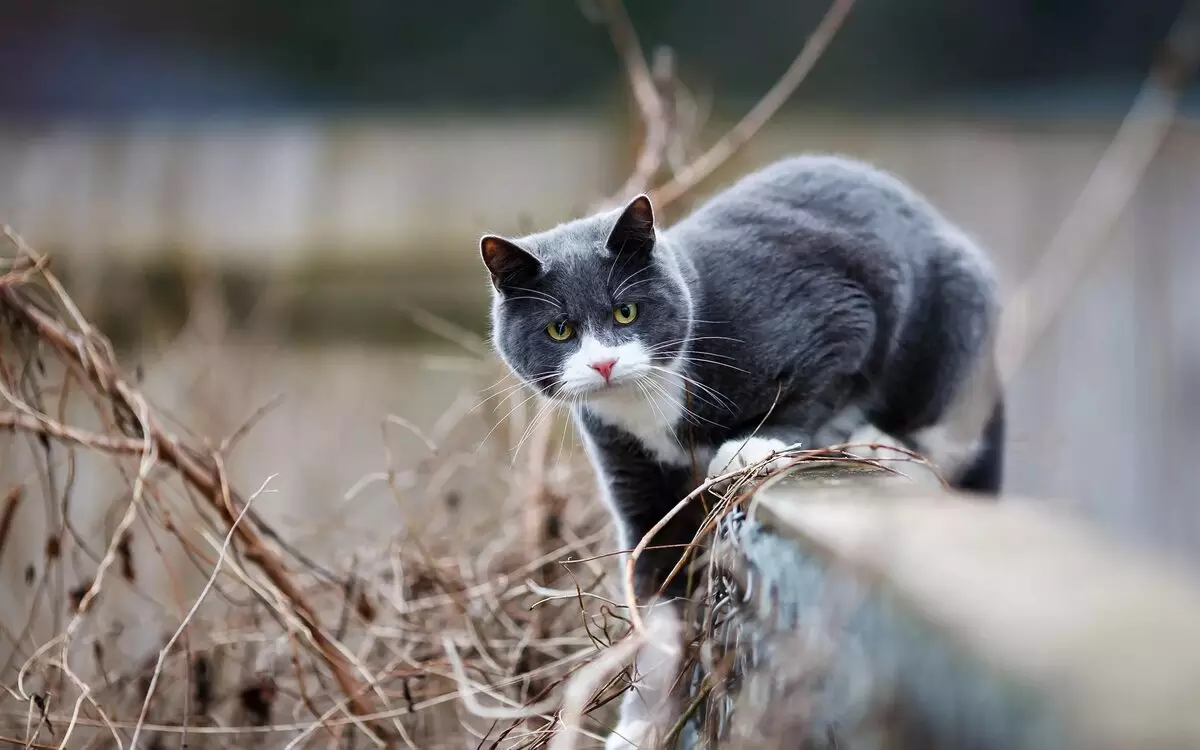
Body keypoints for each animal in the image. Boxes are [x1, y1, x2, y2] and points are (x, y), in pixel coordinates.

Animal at [477, 153, 1003, 748]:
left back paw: (888, 445)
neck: (649, 405)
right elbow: (659, 600)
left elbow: (817, 379)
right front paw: (640, 722)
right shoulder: (635, 477)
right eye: (560, 329)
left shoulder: (842, 313)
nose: (604, 363)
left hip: (954, 325)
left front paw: (754, 446)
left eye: (626, 313)